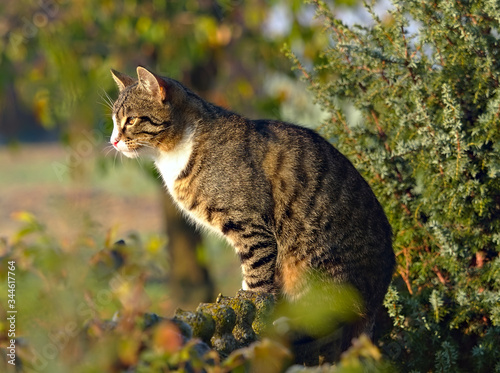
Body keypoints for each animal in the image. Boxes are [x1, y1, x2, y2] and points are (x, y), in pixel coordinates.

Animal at [109, 66, 394, 358]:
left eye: (131, 121)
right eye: (114, 121)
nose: (113, 141)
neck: (175, 153)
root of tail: (381, 287)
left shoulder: (250, 226)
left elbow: (256, 281)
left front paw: (255, 316)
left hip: (317, 267)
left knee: (325, 317)